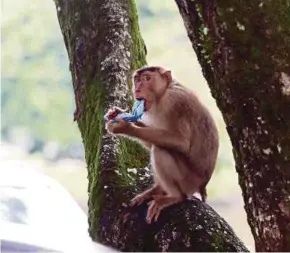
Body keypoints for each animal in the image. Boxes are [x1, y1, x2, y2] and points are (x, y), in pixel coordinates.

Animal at [105, 65, 219, 223]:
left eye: (147, 78)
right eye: (137, 80)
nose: (137, 88)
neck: (163, 93)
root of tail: (202, 185)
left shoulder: (175, 101)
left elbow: (181, 142)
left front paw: (125, 127)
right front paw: (117, 113)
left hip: (189, 182)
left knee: (160, 150)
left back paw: (175, 196)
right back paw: (157, 190)